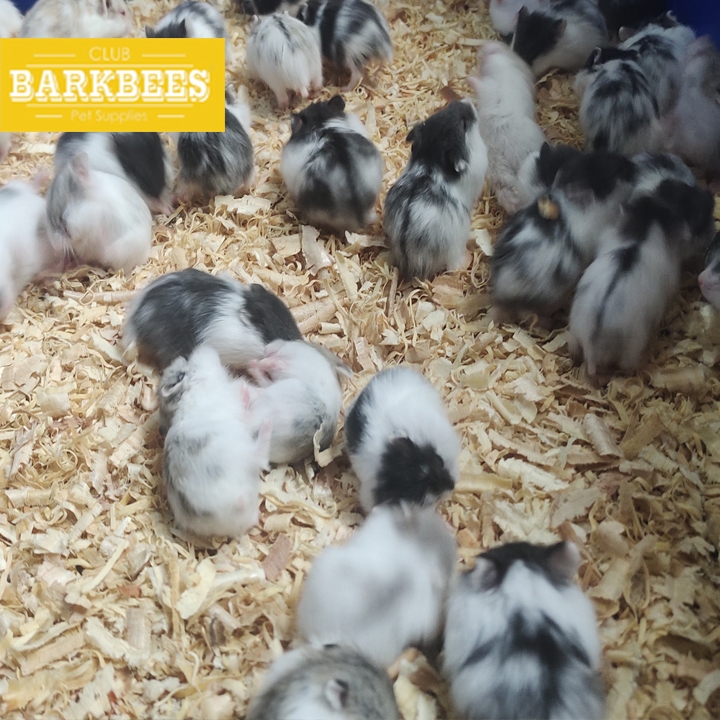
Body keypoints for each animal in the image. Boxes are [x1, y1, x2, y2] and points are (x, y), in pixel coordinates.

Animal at [159, 345, 270, 538]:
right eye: (184, 370)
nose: (205, 348)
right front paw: (246, 390)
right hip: (241, 451)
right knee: (259, 454)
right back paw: (266, 422)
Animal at [467, 41, 546, 213]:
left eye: (499, 48)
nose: (482, 47)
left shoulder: (493, 84)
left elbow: (480, 84)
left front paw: (468, 77)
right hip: (497, 171)